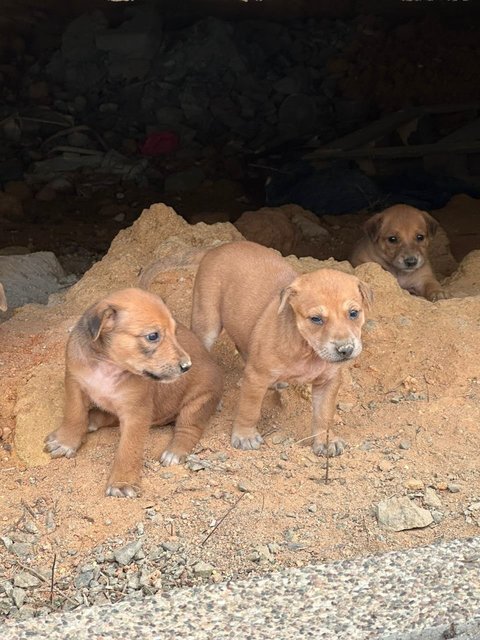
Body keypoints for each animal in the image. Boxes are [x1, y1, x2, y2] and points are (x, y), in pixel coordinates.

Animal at [44, 288, 224, 498]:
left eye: (175, 332)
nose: (187, 366)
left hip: (199, 400)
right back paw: (92, 419)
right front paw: (65, 441)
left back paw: (175, 451)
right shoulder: (74, 383)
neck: (107, 364)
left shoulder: (136, 411)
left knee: (189, 429)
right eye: (153, 336)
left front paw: (122, 482)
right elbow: (74, 414)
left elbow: (129, 448)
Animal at [189, 240, 374, 456]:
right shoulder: (256, 377)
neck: (307, 349)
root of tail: (219, 247)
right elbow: (249, 410)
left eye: (353, 313)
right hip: (206, 321)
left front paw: (325, 441)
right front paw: (245, 436)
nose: (345, 349)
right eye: (316, 319)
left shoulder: (328, 381)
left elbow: (324, 414)